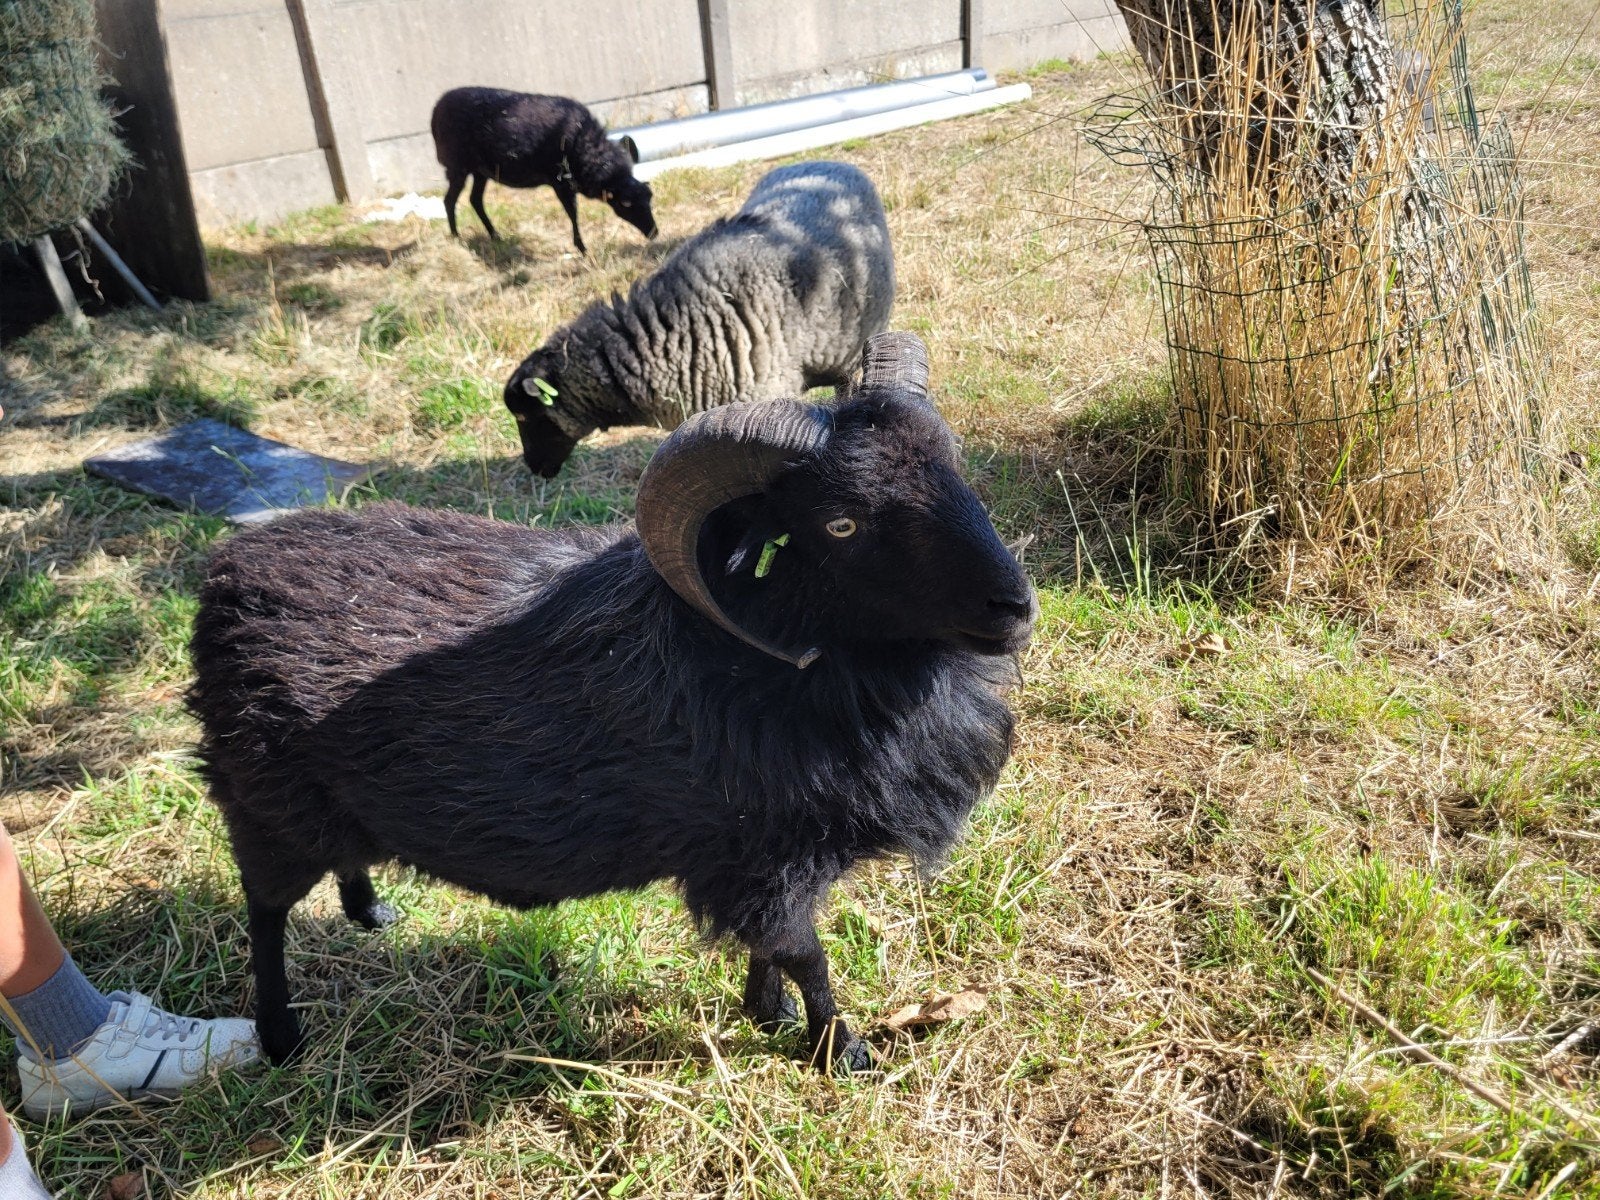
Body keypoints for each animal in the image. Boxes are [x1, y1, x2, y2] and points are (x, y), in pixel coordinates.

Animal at [188, 333, 1035, 1073]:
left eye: (955, 467)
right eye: (842, 522)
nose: (1015, 606)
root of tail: (227, 573)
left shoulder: (778, 854)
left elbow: (773, 954)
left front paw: (770, 1015)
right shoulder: (756, 861)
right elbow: (806, 955)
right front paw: (839, 1051)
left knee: (343, 858)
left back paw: (370, 913)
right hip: (266, 807)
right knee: (264, 915)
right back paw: (281, 1036)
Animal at [430, 88, 657, 253]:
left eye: (650, 197)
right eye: (625, 204)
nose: (654, 232)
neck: (584, 143)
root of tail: (436, 107)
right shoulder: (560, 182)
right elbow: (573, 213)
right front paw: (583, 249)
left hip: (481, 170)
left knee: (475, 200)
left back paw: (495, 236)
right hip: (457, 167)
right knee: (449, 200)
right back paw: (457, 239)